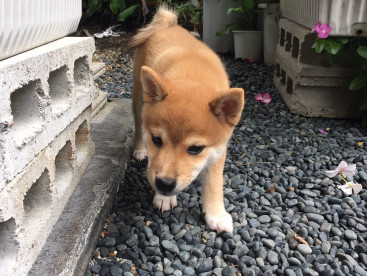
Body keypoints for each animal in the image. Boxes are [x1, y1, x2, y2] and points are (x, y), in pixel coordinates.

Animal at [131, 5, 246, 233]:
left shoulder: (218, 152)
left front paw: (216, 214)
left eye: (196, 149)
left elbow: (214, 184)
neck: (193, 76)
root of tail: (168, 25)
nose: (164, 184)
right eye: (156, 140)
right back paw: (139, 149)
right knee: (139, 126)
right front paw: (163, 197)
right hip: (138, 99)